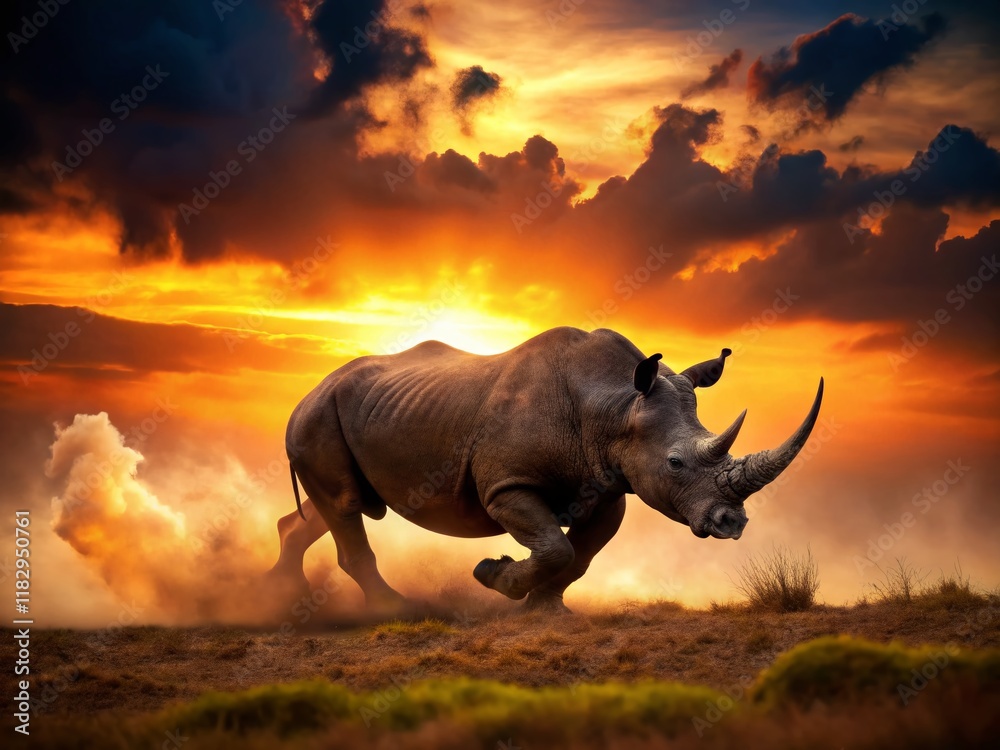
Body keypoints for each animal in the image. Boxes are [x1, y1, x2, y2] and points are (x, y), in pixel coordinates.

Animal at [268, 327, 823, 612]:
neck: (616, 406)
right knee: (344, 507)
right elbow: (557, 546)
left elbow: (581, 555)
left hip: (350, 413)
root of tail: (308, 391)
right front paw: (491, 574)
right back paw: (396, 609)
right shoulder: (507, 486)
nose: (733, 523)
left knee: (335, 507)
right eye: (675, 462)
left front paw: (546, 609)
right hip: (317, 416)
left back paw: (279, 590)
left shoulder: (609, 488)